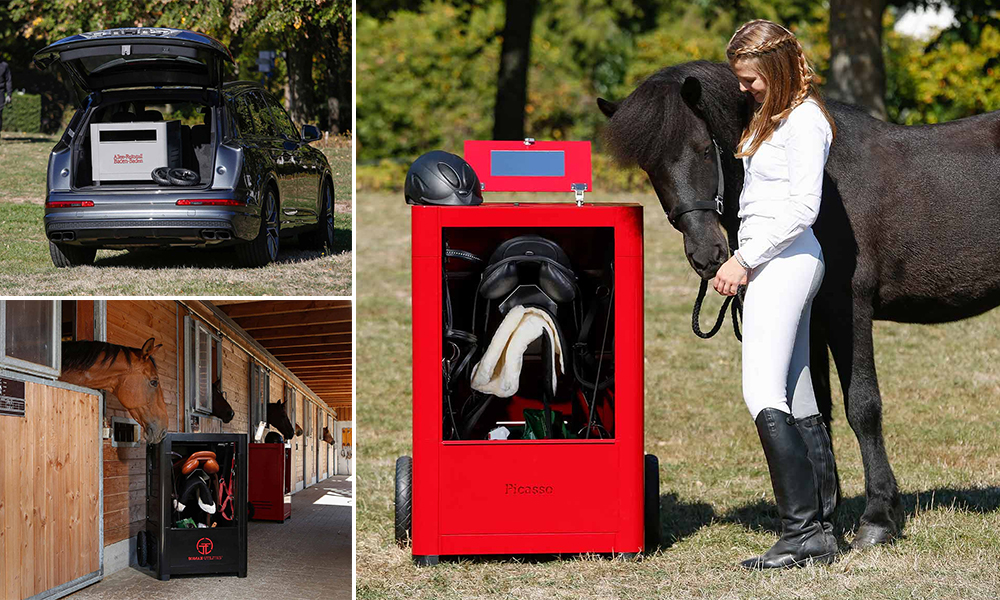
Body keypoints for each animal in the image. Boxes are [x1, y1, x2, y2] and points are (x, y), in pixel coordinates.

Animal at [596, 59, 1000, 548]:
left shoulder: (849, 310)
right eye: (650, 166)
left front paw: (879, 518)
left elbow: (862, 406)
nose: (708, 255)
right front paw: (825, 514)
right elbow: (816, 407)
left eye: (703, 148)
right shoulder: (814, 318)